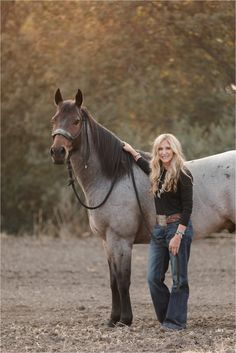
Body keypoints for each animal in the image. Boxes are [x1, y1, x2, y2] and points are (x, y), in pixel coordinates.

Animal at [49, 89, 234, 326]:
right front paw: (112, 319)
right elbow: (112, 281)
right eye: (54, 119)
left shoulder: (121, 240)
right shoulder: (106, 242)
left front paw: (125, 320)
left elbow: (123, 280)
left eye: (76, 121)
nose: (58, 152)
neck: (114, 177)